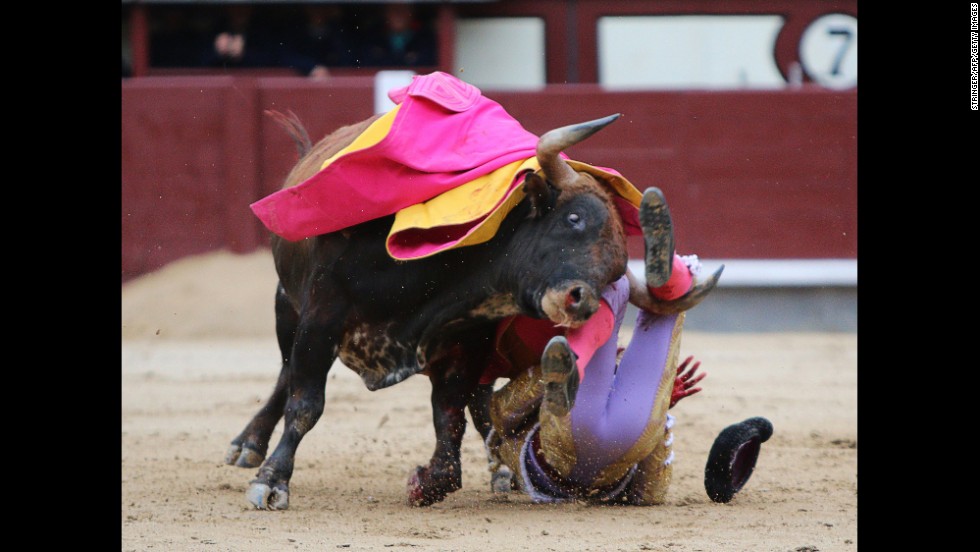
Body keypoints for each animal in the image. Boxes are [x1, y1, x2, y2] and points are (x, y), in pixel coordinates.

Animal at [227, 106, 644, 508]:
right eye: (573, 218)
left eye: (616, 269)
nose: (581, 301)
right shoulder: (321, 318)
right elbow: (306, 402)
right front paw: (271, 481)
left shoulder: (468, 343)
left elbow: (450, 420)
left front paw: (424, 482)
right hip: (287, 304)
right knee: (286, 371)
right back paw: (248, 445)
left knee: (481, 401)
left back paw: (500, 468)